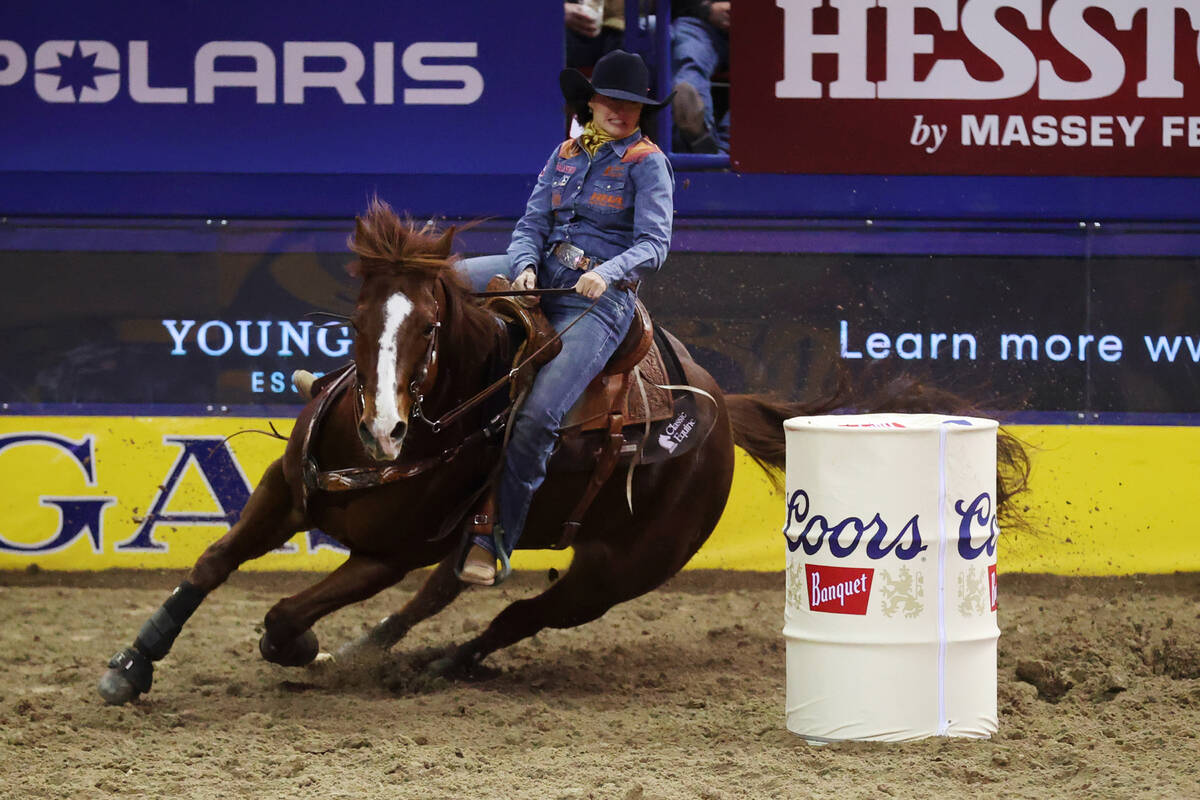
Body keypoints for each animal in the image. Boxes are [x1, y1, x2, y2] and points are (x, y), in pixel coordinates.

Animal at [98, 203, 1027, 705]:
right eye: (359, 323)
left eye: (428, 328)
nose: (381, 431)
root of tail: (720, 411)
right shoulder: (287, 494)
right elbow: (211, 564)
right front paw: (132, 664)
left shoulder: (386, 551)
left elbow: (289, 612)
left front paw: (295, 650)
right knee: (457, 585)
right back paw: (379, 648)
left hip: (619, 572)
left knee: (518, 613)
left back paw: (433, 663)